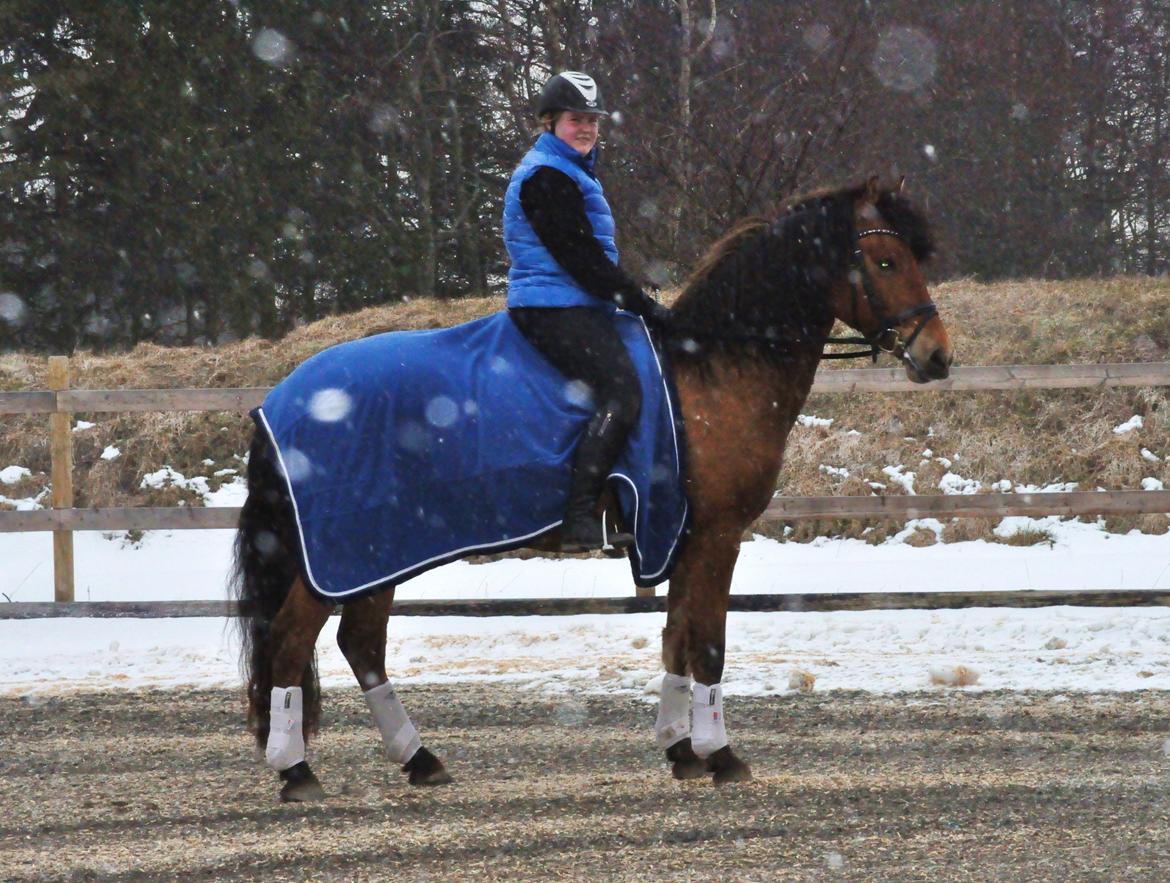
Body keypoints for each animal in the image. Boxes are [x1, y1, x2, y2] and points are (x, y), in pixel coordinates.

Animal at [235, 174, 950, 799]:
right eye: (886, 261)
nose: (938, 356)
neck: (714, 367)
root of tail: (281, 398)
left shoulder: (680, 534)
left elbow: (676, 637)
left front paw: (680, 749)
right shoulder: (716, 534)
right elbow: (708, 645)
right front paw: (721, 755)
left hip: (383, 550)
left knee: (361, 644)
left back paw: (419, 759)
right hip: (344, 553)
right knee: (291, 641)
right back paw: (296, 769)